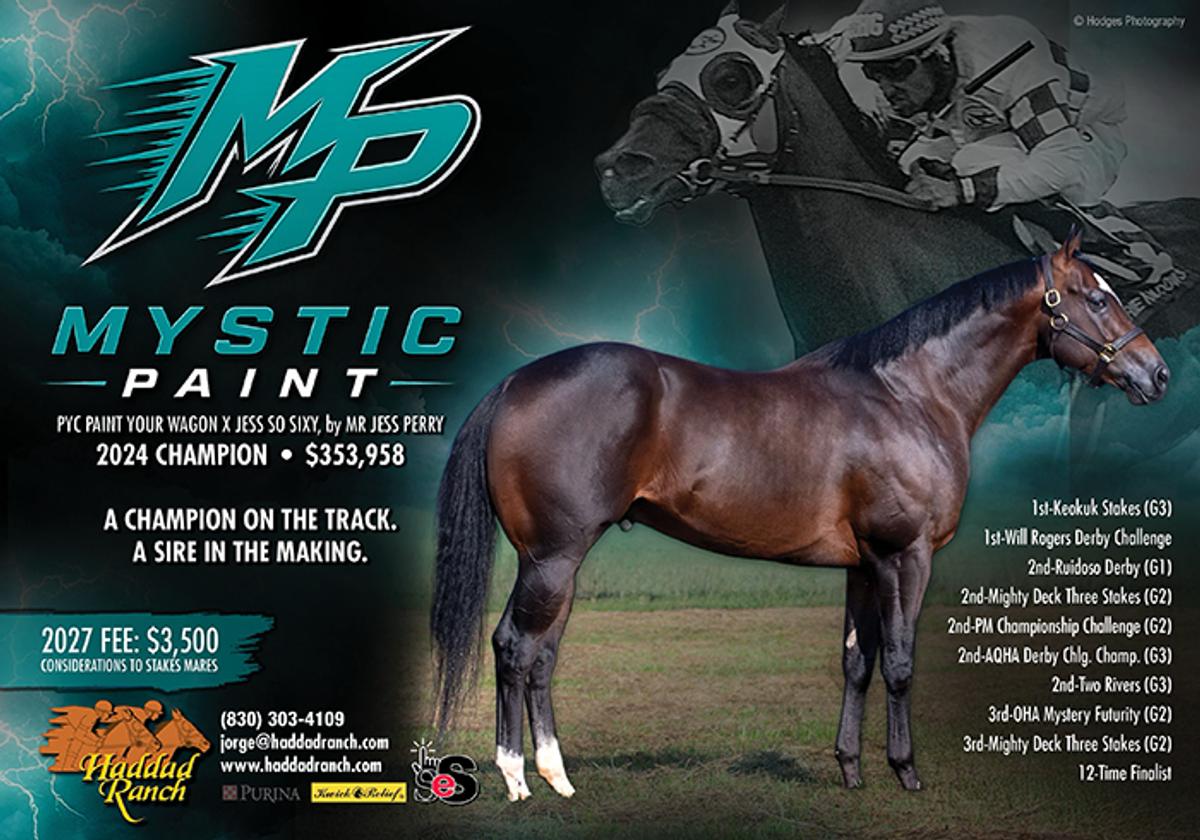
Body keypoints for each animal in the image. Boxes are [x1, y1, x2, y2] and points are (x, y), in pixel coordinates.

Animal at [430, 231, 1168, 799]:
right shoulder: (906, 555)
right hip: (552, 558)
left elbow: (858, 662)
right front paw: (906, 773)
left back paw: (557, 776)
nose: (1156, 374)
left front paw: (850, 770)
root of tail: (513, 383)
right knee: (515, 647)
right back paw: (517, 780)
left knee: (542, 657)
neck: (910, 396)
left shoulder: (865, 565)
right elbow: (900, 663)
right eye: (1097, 297)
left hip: (557, 564)